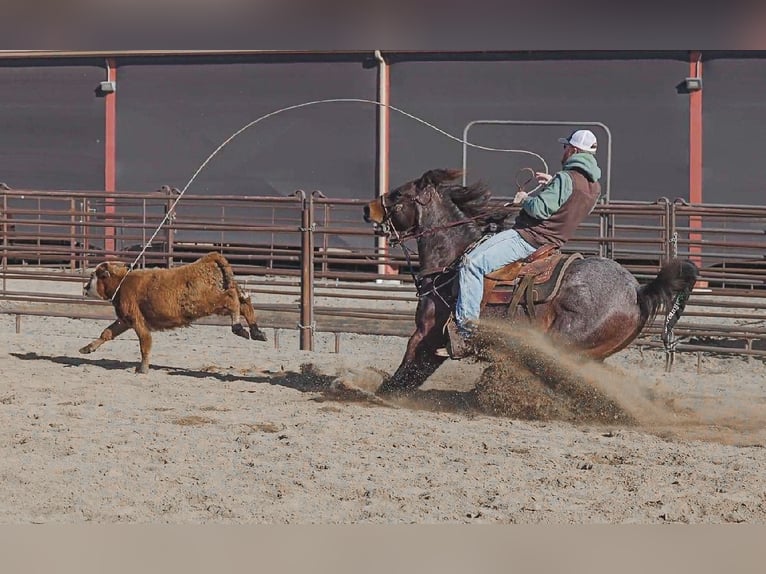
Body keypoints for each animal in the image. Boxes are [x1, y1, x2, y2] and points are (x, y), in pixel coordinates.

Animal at [363, 168, 699, 395]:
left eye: (398, 194)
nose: (367, 208)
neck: (452, 258)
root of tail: (638, 290)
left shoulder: (426, 333)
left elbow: (405, 371)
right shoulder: (433, 343)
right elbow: (413, 375)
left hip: (562, 345)